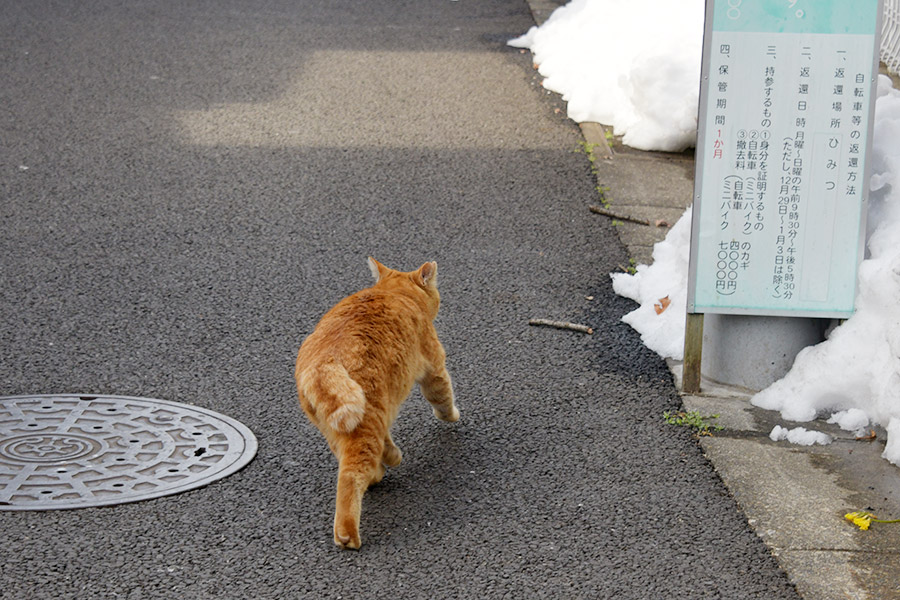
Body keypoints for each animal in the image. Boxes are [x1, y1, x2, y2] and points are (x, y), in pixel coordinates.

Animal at [296, 256, 460, 548]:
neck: (393, 292)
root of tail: (323, 362)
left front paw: (392, 455)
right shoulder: (434, 369)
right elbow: (443, 399)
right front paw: (452, 415)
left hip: (337, 425)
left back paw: (383, 467)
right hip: (365, 424)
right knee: (350, 477)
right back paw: (348, 533)